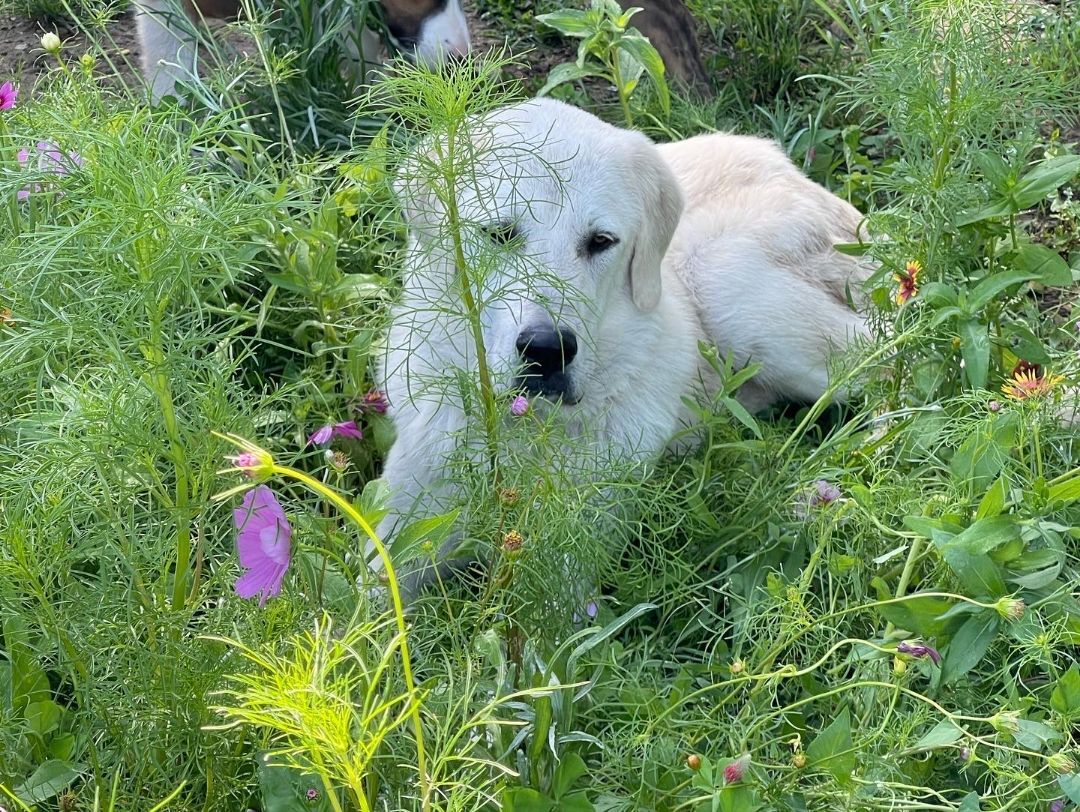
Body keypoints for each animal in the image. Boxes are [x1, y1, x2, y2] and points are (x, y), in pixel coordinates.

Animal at [367, 99, 872, 591]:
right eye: (499, 233)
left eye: (600, 241)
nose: (547, 350)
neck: (528, 432)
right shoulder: (397, 540)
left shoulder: (568, 575)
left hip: (726, 282)